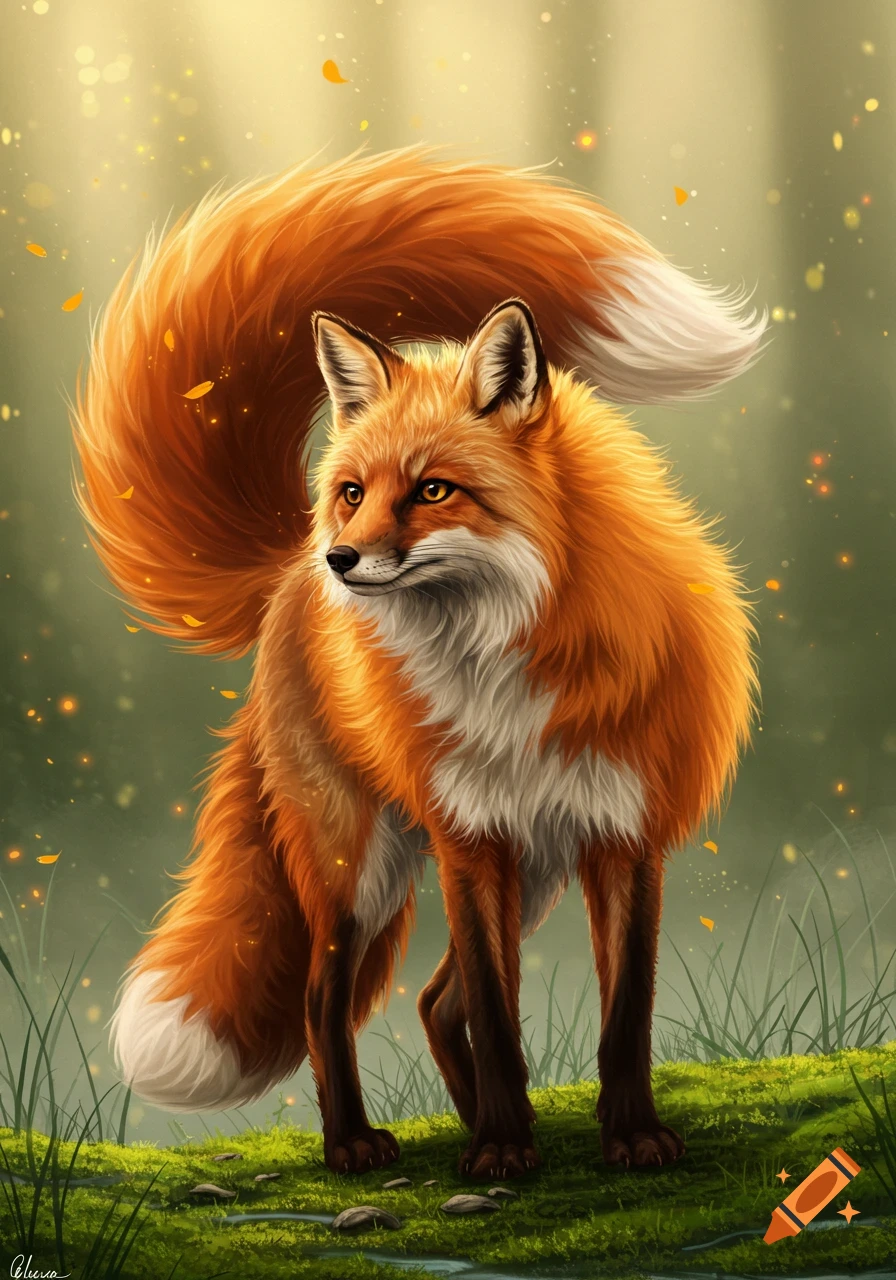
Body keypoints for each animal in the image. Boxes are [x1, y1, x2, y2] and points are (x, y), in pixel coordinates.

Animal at [73, 145, 762, 1179]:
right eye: (355, 492)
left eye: (434, 491)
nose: (342, 560)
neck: (505, 662)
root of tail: (284, 570)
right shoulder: (469, 840)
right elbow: (500, 1016)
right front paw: (503, 1150)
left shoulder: (623, 836)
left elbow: (623, 1018)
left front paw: (628, 1136)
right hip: (357, 863)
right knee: (325, 1004)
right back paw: (355, 1141)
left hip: (529, 868)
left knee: (434, 1003)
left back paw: (474, 1121)